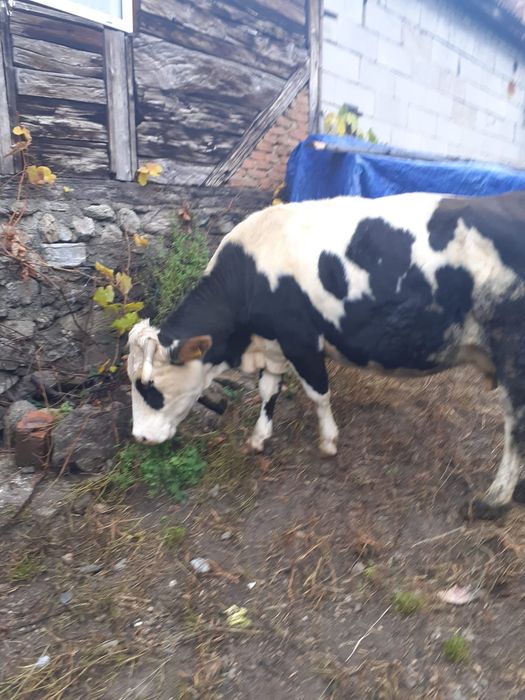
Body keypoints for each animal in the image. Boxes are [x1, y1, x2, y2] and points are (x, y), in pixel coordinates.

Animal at [127, 190, 525, 520]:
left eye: (148, 385)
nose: (140, 437)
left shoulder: (301, 341)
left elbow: (318, 393)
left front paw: (329, 442)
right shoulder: (273, 345)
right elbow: (269, 391)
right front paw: (259, 438)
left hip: (513, 355)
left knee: (515, 425)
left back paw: (494, 501)